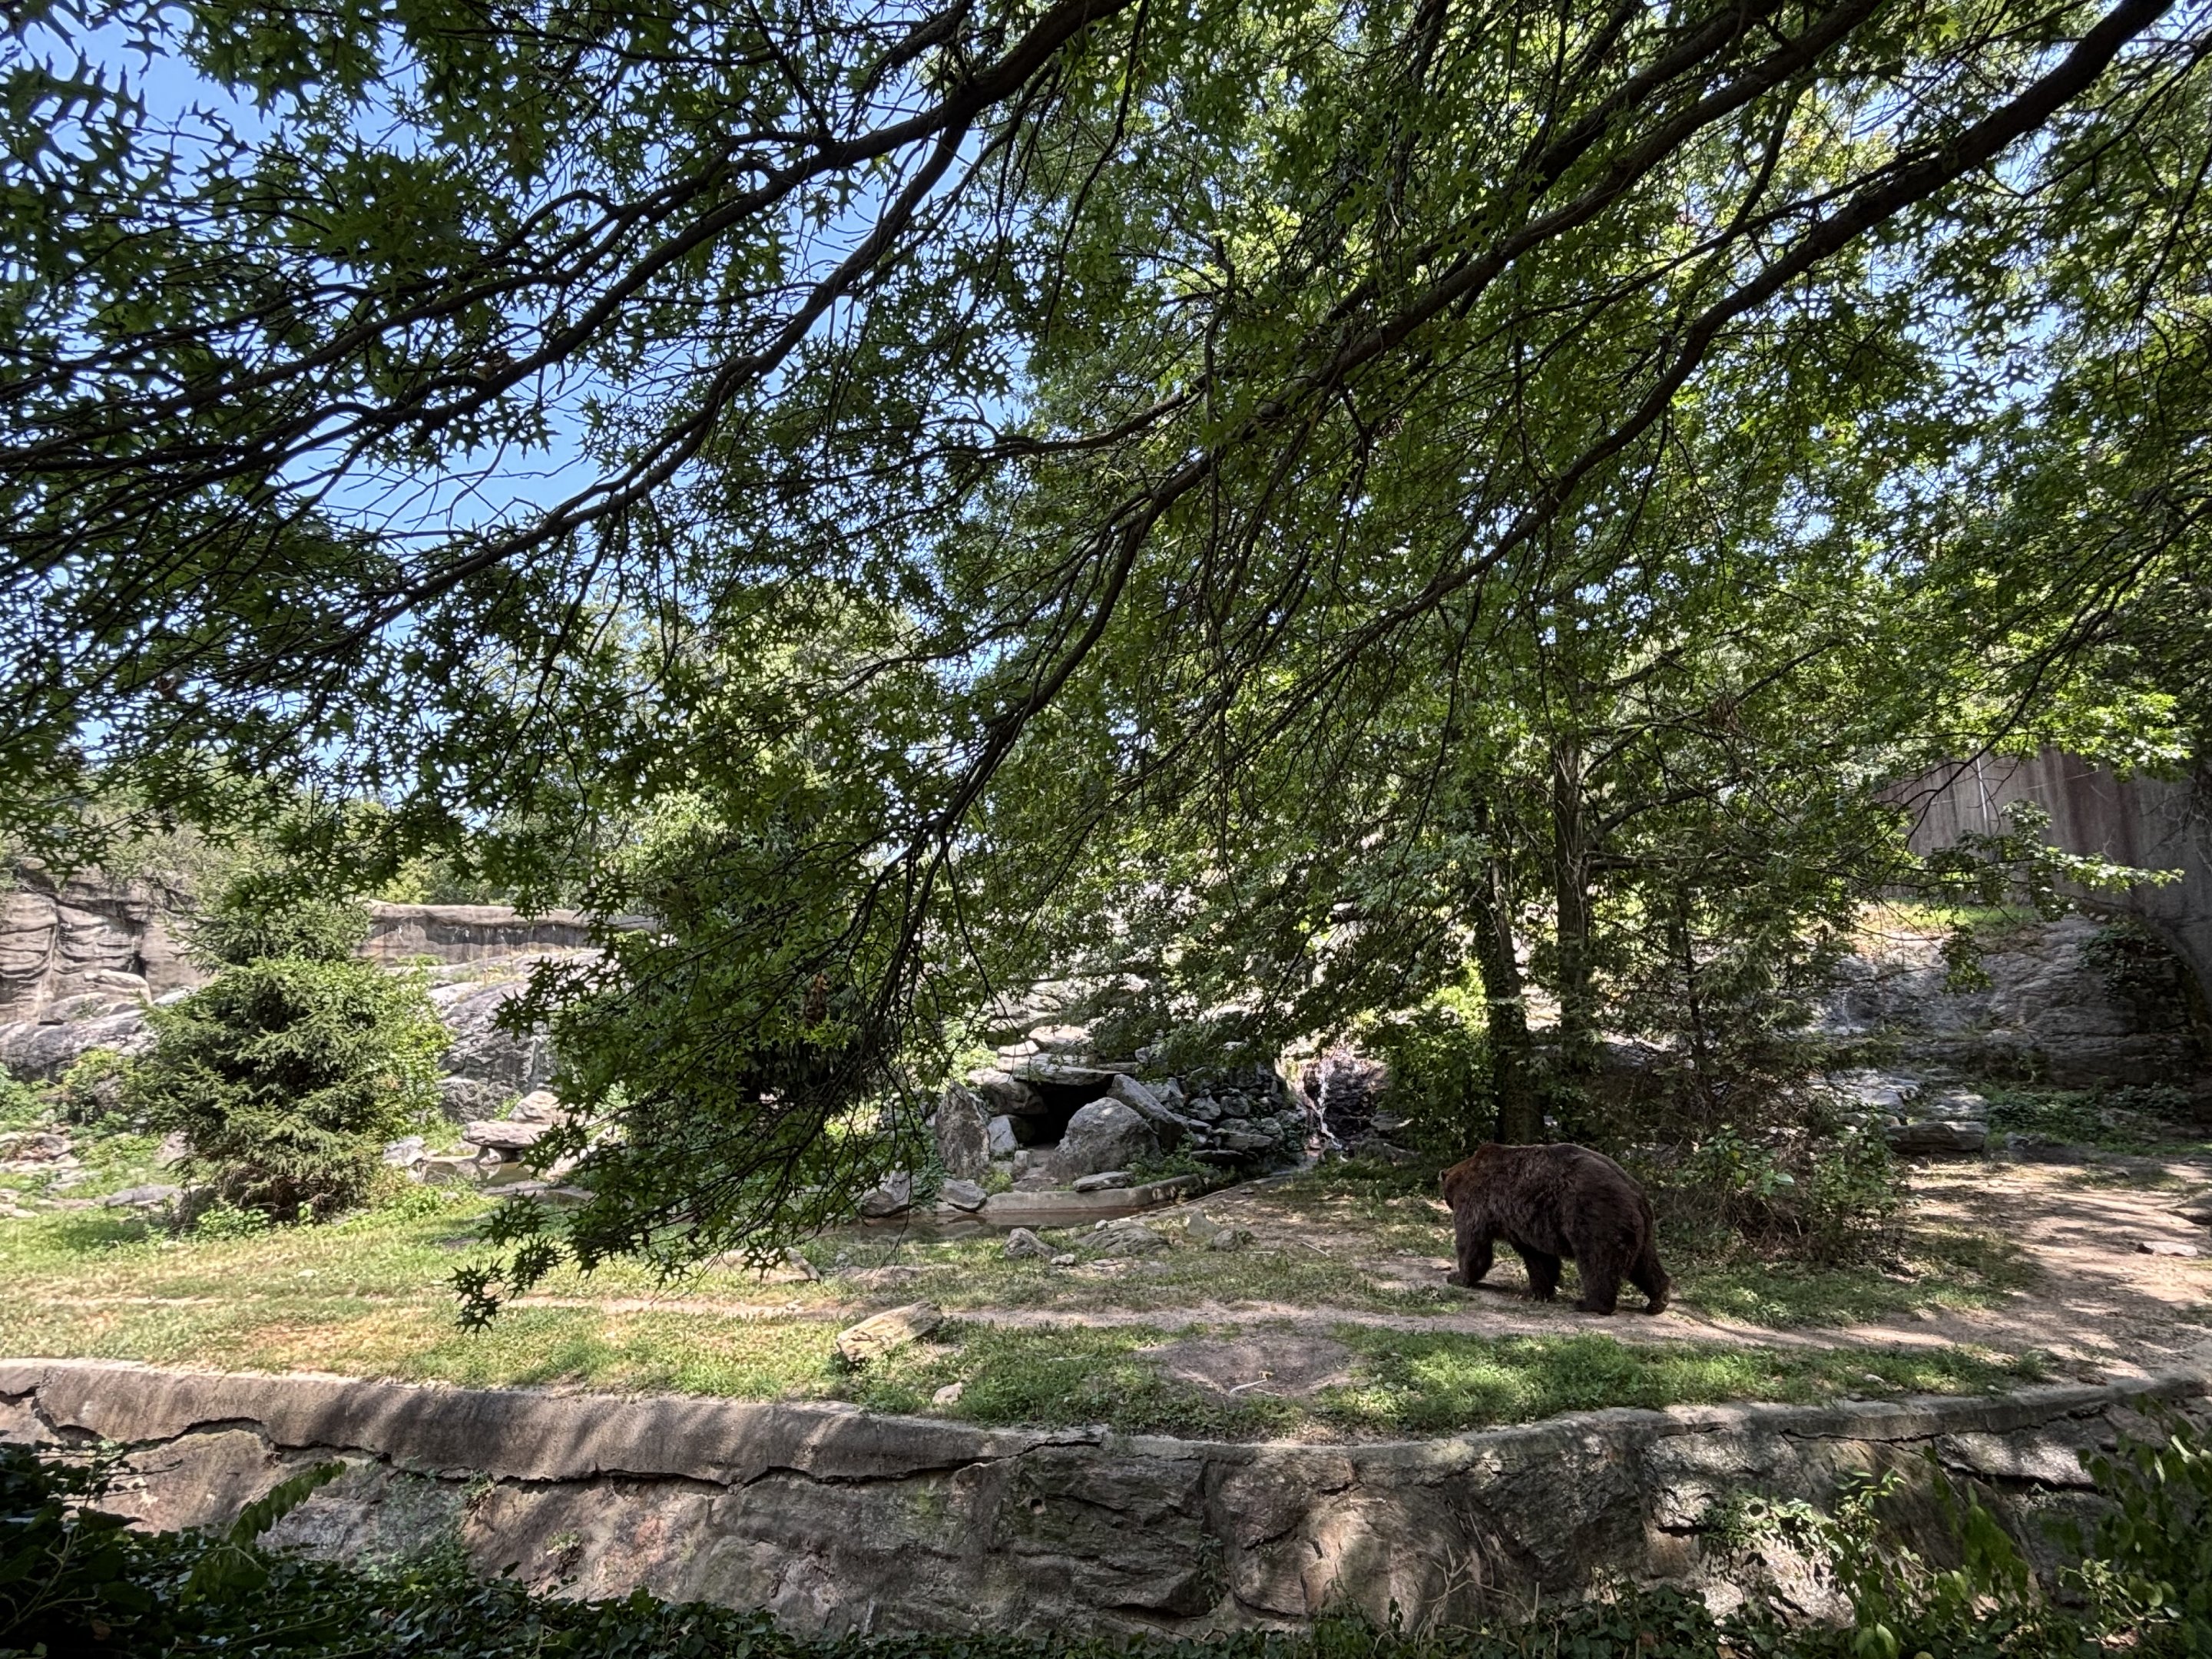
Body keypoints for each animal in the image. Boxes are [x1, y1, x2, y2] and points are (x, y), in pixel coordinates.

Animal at [1440, 1141, 1670, 1315]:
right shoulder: (1527, 1225)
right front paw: (1538, 1291)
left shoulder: (1477, 1200)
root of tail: (1635, 1193)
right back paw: (1658, 1301)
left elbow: (1472, 1243)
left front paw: (1458, 1277)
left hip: (1596, 1217)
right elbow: (1539, 1259)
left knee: (1598, 1263)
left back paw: (1591, 1304)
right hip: (1640, 1230)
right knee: (1645, 1264)